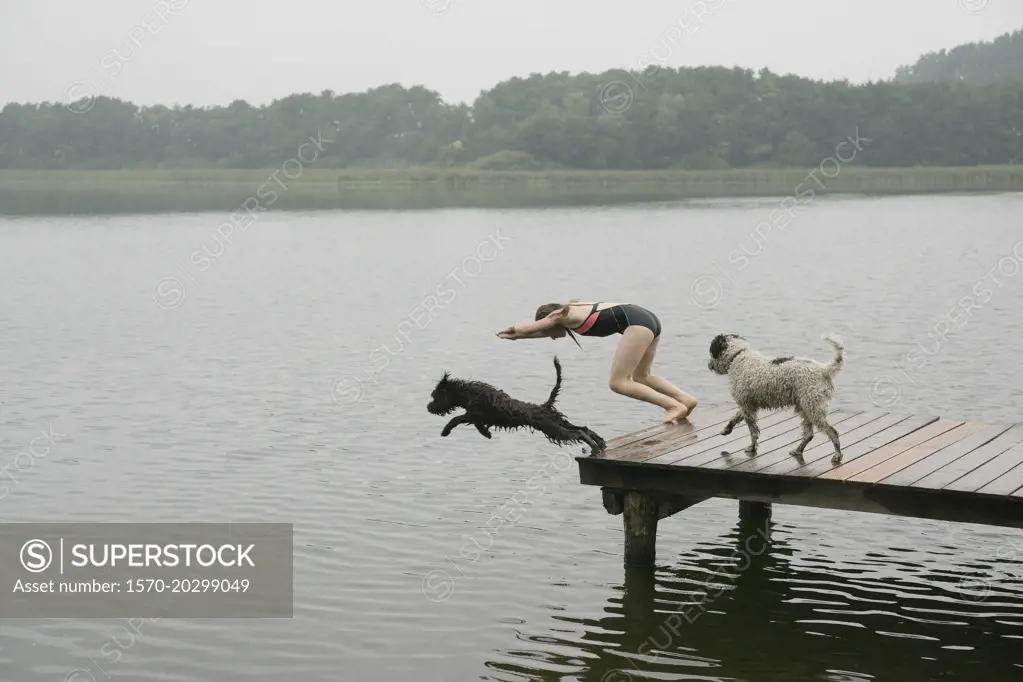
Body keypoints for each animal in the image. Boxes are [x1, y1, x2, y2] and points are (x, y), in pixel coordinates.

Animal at [425, 355, 605, 456]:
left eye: (435, 397)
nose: (428, 407)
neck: (467, 393)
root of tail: (545, 406)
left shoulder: (473, 414)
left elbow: (456, 419)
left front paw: (446, 431)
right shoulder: (476, 416)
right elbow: (473, 424)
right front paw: (486, 434)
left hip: (554, 430)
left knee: (579, 433)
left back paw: (595, 447)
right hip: (559, 423)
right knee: (584, 428)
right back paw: (600, 443)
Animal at [707, 331, 842, 464]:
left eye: (712, 352)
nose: (709, 365)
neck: (737, 355)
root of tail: (823, 370)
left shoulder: (746, 405)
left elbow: (753, 431)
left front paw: (752, 447)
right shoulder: (748, 404)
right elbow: (735, 417)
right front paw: (726, 429)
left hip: (813, 407)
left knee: (832, 432)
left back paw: (837, 455)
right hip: (805, 407)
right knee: (809, 434)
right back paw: (798, 450)